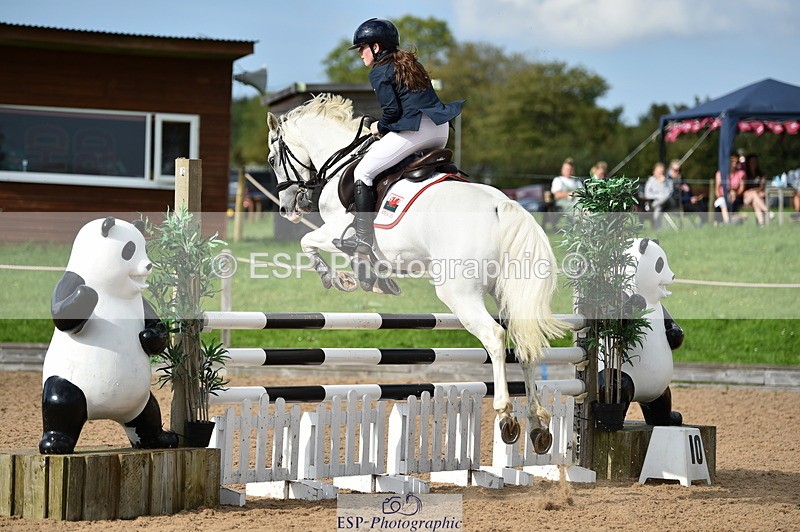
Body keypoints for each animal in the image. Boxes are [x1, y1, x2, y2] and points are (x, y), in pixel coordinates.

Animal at [266, 93, 568, 451]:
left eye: (272, 159)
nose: (287, 208)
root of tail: (502, 206)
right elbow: (354, 255)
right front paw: (373, 279)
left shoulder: (336, 229)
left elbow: (312, 242)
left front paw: (338, 278)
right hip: (506, 293)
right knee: (524, 344)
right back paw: (538, 422)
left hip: (458, 293)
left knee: (495, 337)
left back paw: (506, 414)